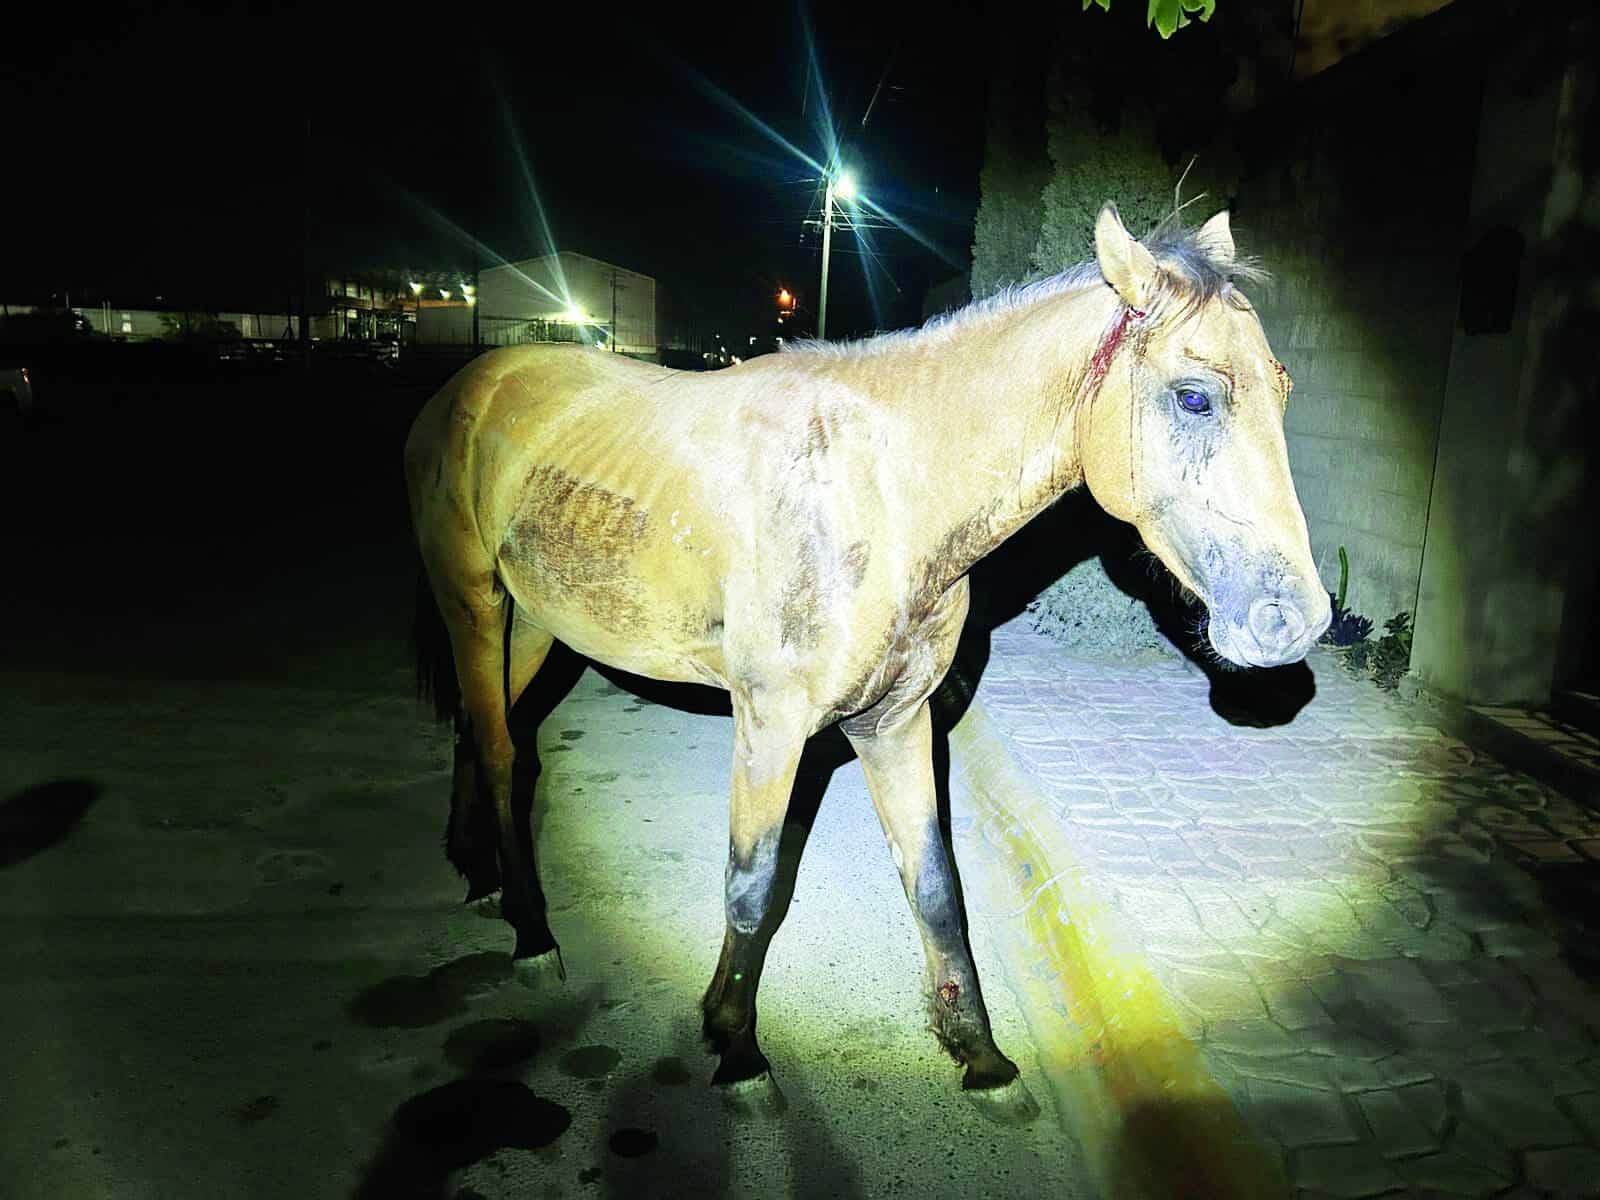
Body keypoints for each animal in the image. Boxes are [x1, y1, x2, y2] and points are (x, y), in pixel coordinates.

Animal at [404, 204, 1331, 1120]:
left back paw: (477, 869)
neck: (882, 492)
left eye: (1285, 389)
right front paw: (737, 1048)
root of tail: (467, 384)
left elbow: (936, 887)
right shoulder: (771, 727)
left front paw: (979, 1054)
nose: (1295, 621)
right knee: (500, 749)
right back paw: (530, 931)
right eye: (1195, 397)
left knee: (481, 728)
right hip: (474, 603)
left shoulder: (895, 722)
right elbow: (752, 887)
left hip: (536, 623)